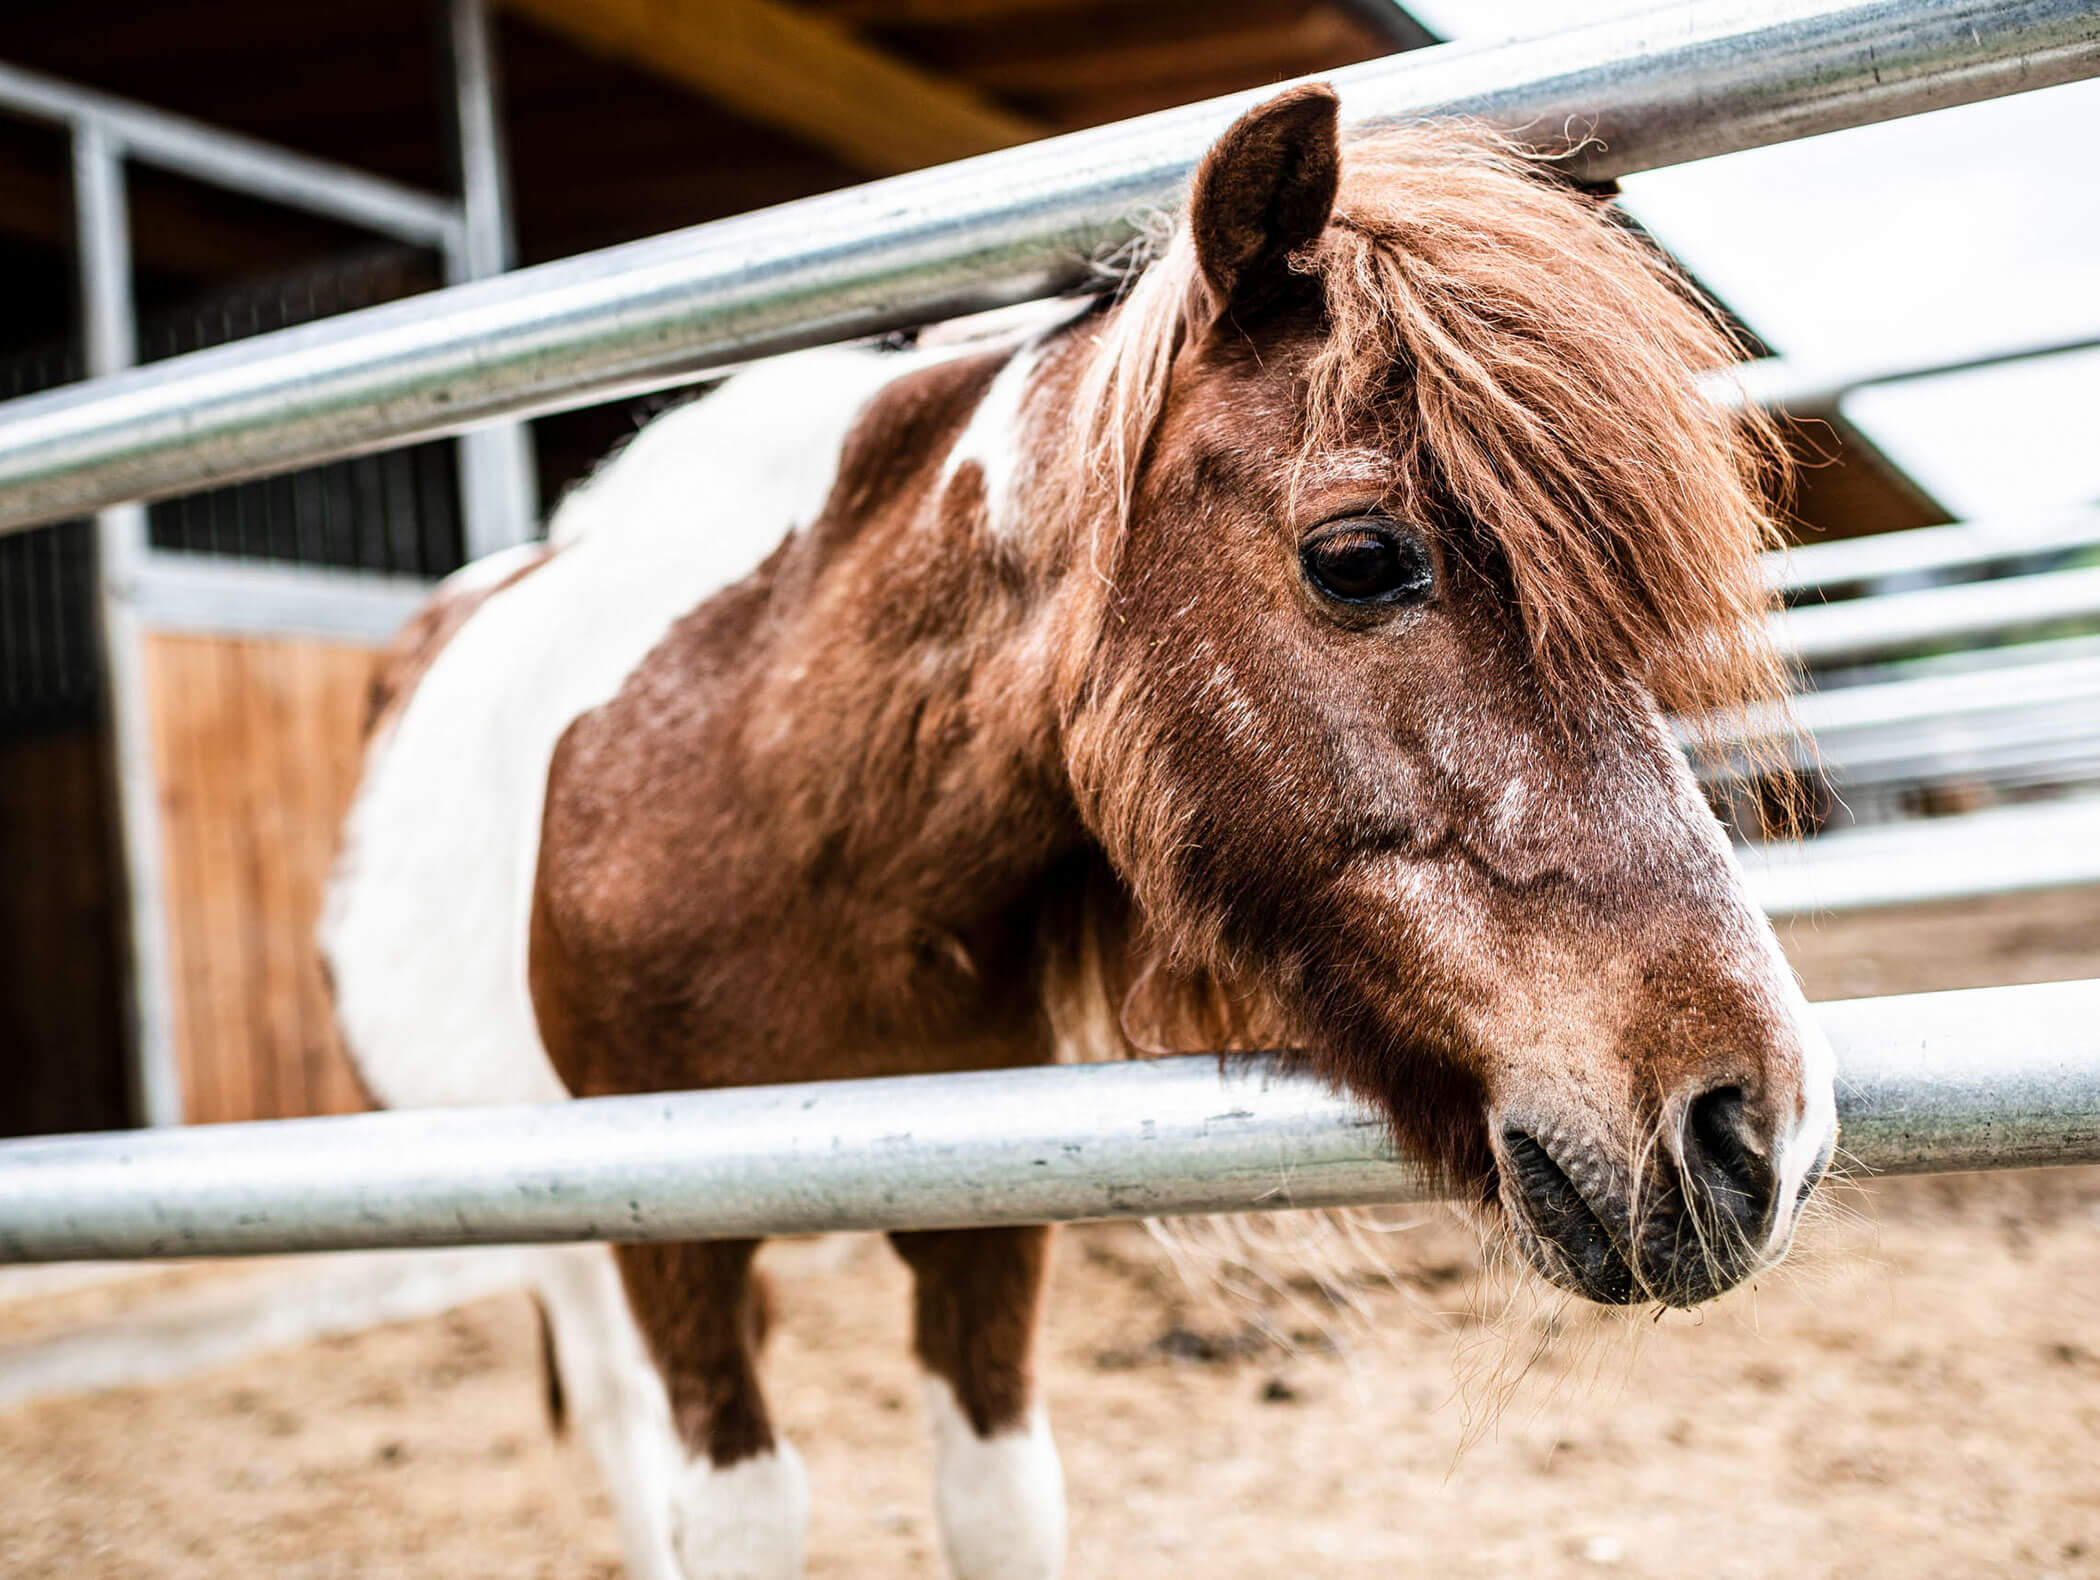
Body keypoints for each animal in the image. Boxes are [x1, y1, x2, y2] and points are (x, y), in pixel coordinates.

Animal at [321, 84, 1837, 1580]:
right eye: (1360, 558)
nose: (1762, 1130)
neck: (773, 802)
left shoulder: (989, 1217)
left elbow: (1000, 1499)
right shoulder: (670, 1234)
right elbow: (739, 1510)